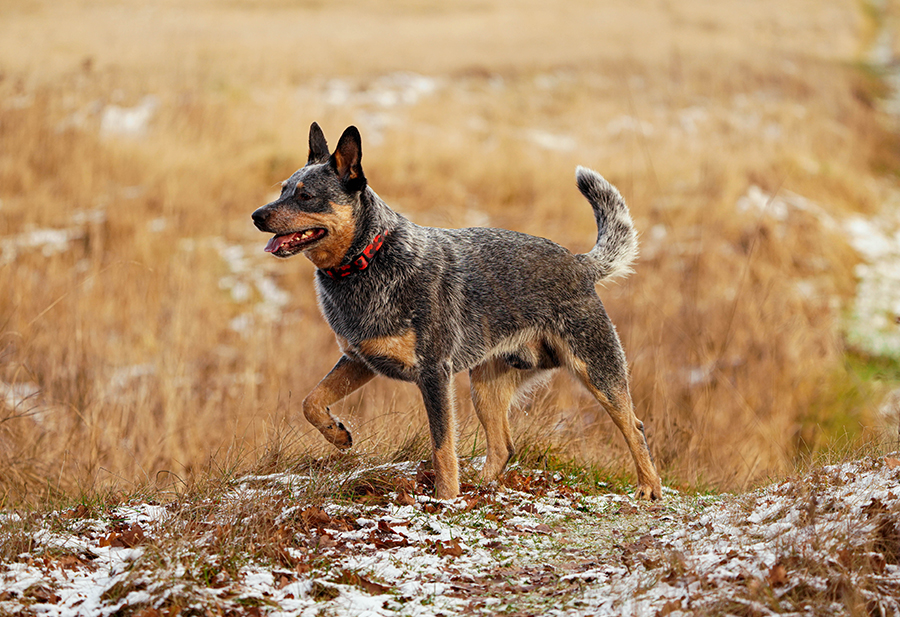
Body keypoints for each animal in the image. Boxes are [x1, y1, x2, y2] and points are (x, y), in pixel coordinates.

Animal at [250, 122, 664, 498]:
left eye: (306, 196)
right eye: (283, 189)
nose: (257, 215)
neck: (369, 260)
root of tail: (579, 263)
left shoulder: (434, 372)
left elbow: (442, 446)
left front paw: (446, 499)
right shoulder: (360, 360)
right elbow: (311, 401)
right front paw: (337, 435)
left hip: (595, 368)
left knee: (634, 425)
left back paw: (649, 488)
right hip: (486, 385)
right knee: (503, 446)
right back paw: (481, 488)